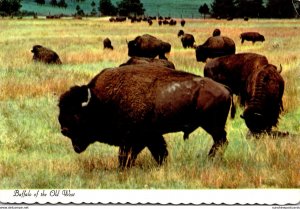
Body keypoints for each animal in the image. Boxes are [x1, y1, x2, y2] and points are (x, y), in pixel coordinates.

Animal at [58, 65, 236, 168]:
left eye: (76, 113)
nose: (64, 130)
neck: (101, 100)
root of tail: (225, 88)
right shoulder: (151, 136)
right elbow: (159, 152)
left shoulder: (134, 138)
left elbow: (127, 156)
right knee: (222, 141)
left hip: (212, 125)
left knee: (221, 141)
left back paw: (210, 160)